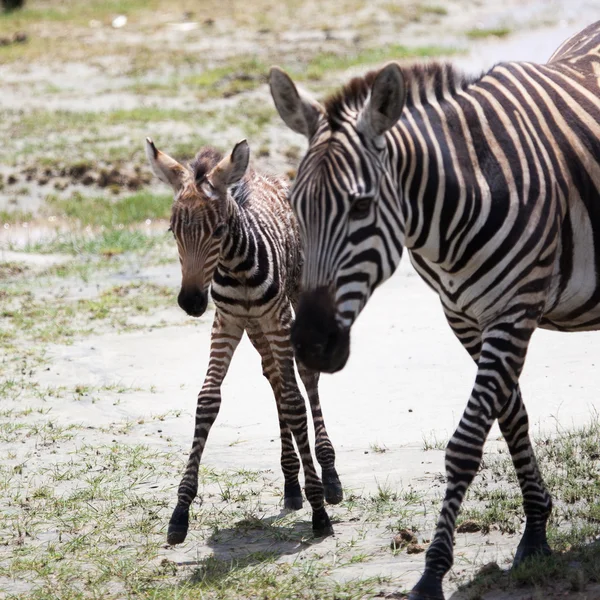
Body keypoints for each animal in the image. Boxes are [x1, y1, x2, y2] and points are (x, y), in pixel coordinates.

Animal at [145, 136, 342, 544]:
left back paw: (329, 477)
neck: (236, 268)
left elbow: (295, 402)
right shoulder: (227, 322)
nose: (190, 302)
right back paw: (291, 485)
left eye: (219, 231)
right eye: (173, 231)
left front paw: (319, 509)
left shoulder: (278, 319)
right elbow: (208, 401)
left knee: (304, 378)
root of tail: (264, 174)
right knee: (276, 377)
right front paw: (180, 512)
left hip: (292, 300)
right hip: (256, 329)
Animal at [270, 21, 600, 600]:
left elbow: (466, 444)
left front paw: (432, 572)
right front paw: (536, 529)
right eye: (293, 204)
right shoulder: (466, 317)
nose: (309, 344)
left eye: (361, 206)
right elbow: (511, 418)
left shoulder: (514, 312)